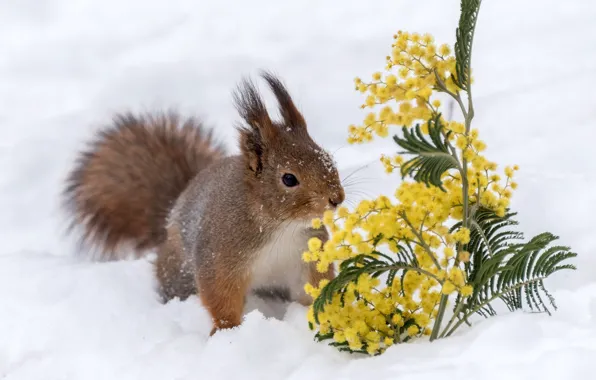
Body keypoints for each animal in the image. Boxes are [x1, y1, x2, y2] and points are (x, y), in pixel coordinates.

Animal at [61, 72, 344, 336]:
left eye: (328, 158)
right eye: (289, 178)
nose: (337, 198)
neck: (280, 226)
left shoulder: (305, 255)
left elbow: (312, 286)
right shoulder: (220, 255)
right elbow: (219, 295)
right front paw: (228, 331)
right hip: (179, 274)